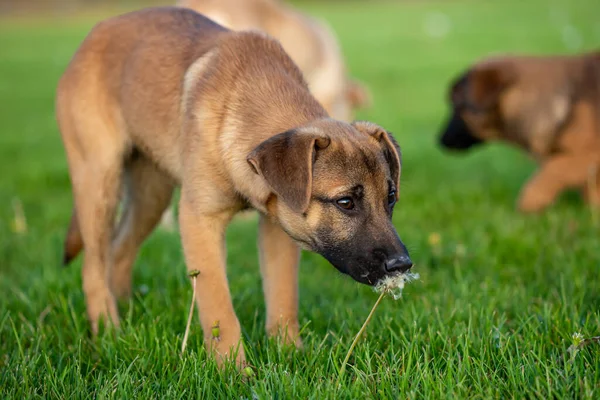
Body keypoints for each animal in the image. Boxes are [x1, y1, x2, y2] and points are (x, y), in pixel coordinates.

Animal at [56, 7, 412, 368]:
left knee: (120, 252)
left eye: (391, 198)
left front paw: (289, 354)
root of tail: (94, 33)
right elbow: (219, 308)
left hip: (150, 194)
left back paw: (128, 318)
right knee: (93, 267)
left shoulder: (277, 224)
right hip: (99, 180)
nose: (401, 265)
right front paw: (233, 369)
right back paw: (109, 331)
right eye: (345, 202)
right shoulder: (199, 220)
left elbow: (283, 297)